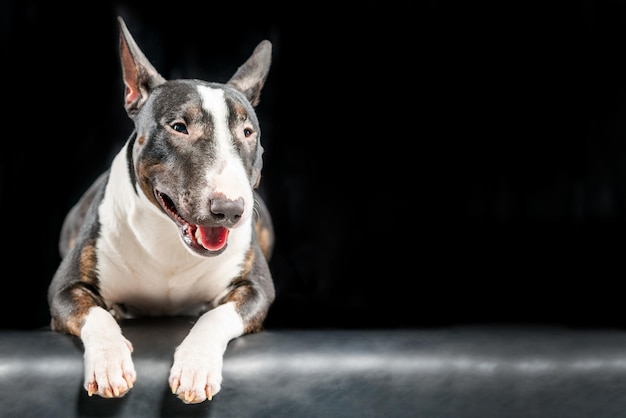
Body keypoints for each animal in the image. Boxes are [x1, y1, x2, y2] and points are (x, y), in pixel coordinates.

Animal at [45, 17, 274, 404]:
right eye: (179, 126)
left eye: (247, 132)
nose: (230, 209)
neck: (170, 242)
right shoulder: (63, 289)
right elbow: (95, 313)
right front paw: (109, 362)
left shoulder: (257, 288)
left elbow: (217, 315)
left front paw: (196, 367)